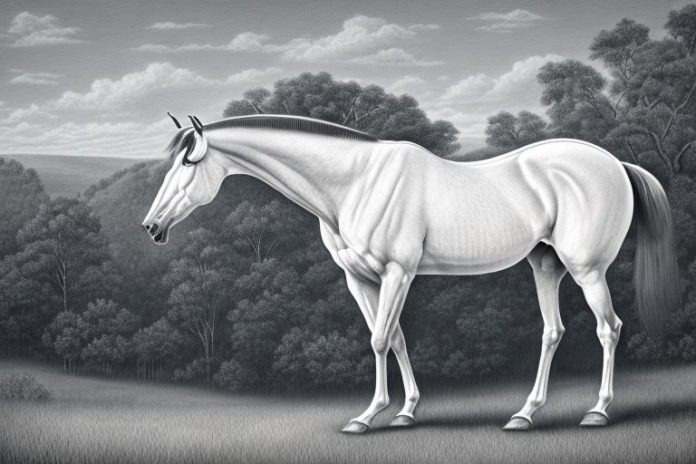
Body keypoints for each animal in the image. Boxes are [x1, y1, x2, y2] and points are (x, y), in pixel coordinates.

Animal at [143, 113, 680, 433]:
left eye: (186, 167)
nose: (151, 227)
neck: (355, 182)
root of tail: (613, 162)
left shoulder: (398, 273)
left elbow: (380, 339)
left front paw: (366, 417)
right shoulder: (360, 279)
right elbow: (396, 337)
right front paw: (405, 412)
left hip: (586, 269)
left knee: (608, 328)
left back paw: (598, 411)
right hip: (545, 265)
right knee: (553, 331)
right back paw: (524, 415)